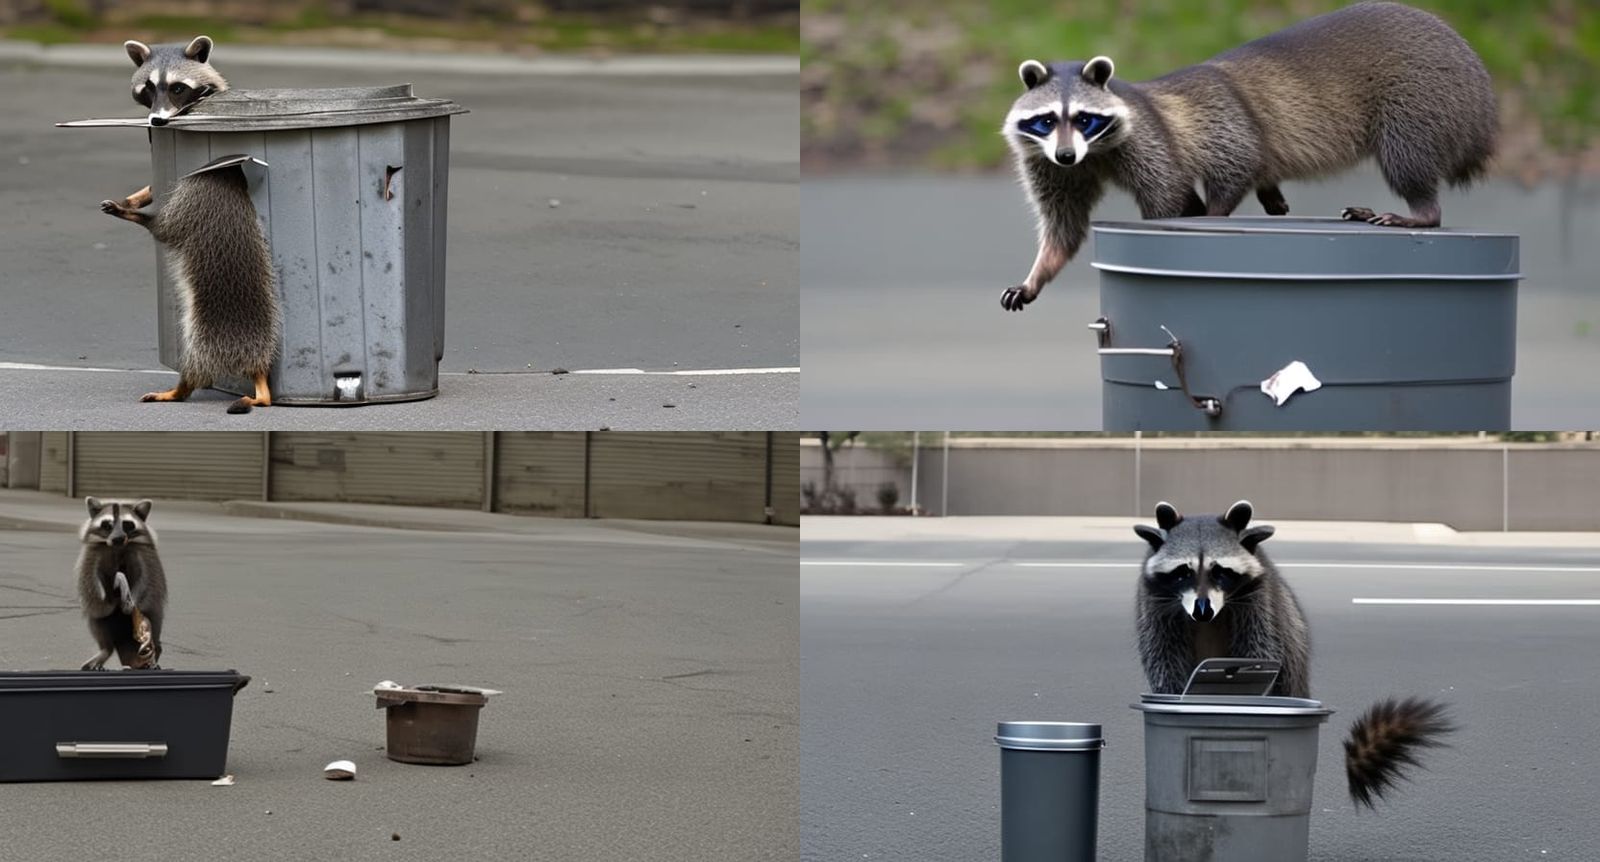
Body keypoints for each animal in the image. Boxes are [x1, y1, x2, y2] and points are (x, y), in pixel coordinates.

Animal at [77, 497, 168, 671]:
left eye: (127, 524)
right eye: (107, 525)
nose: (118, 538)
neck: (118, 547)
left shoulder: (143, 555)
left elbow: (146, 580)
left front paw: (132, 601)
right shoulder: (93, 555)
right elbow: (91, 579)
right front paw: (105, 595)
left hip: (153, 617)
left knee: (154, 624)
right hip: (102, 623)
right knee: (98, 625)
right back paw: (104, 651)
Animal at [999, 1, 1497, 310]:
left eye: (1084, 118)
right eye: (1046, 120)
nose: (1066, 155)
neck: (1092, 153)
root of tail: (1473, 68)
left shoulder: (1155, 141)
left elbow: (1183, 191)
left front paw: (1203, 216)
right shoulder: (1048, 164)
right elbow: (1065, 227)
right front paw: (1038, 273)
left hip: (1419, 98)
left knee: (1404, 158)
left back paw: (1421, 212)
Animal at [1136, 500, 1455, 807]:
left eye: (1221, 572)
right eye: (1183, 572)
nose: (1203, 612)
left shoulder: (1260, 600)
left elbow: (1260, 650)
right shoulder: (1154, 602)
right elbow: (1163, 658)